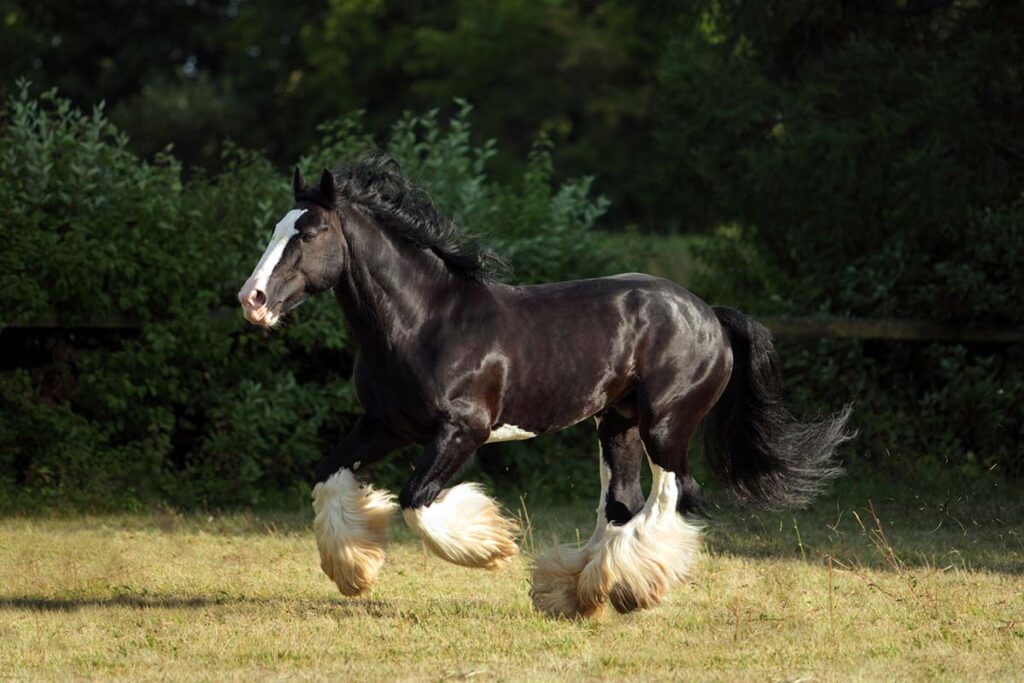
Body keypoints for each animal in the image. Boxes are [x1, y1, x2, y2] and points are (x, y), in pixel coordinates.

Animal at [239, 156, 856, 618]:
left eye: (309, 232)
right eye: (274, 229)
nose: (252, 299)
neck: (424, 321)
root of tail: (709, 314)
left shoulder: (462, 431)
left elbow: (416, 500)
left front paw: (491, 547)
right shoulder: (386, 426)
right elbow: (329, 474)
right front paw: (354, 573)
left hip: (666, 425)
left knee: (674, 495)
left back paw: (629, 588)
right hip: (617, 424)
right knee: (622, 503)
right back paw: (582, 592)